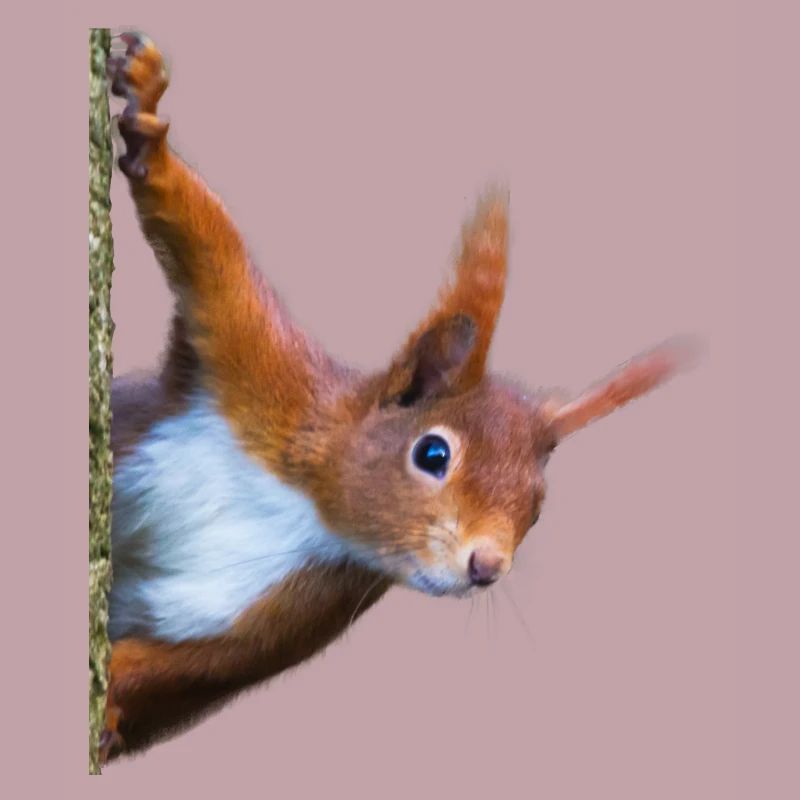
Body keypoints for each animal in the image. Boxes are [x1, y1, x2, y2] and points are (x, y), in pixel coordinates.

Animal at [101, 32, 694, 763]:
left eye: (537, 507)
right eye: (432, 454)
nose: (487, 566)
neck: (307, 505)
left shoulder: (277, 621)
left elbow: (175, 672)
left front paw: (109, 705)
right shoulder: (264, 375)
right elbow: (210, 247)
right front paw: (149, 113)